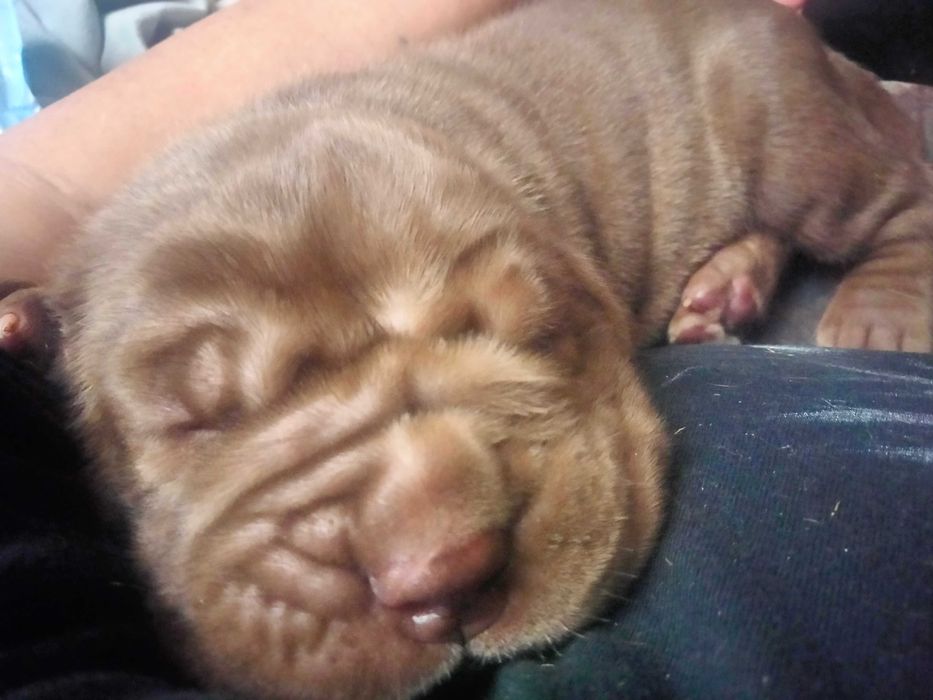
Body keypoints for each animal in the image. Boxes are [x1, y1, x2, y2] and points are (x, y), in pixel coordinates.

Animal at [1, 0, 931, 698]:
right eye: (198, 423)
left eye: (528, 328)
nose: (444, 575)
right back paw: (721, 285)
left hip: (782, 123)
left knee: (897, 194)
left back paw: (874, 316)